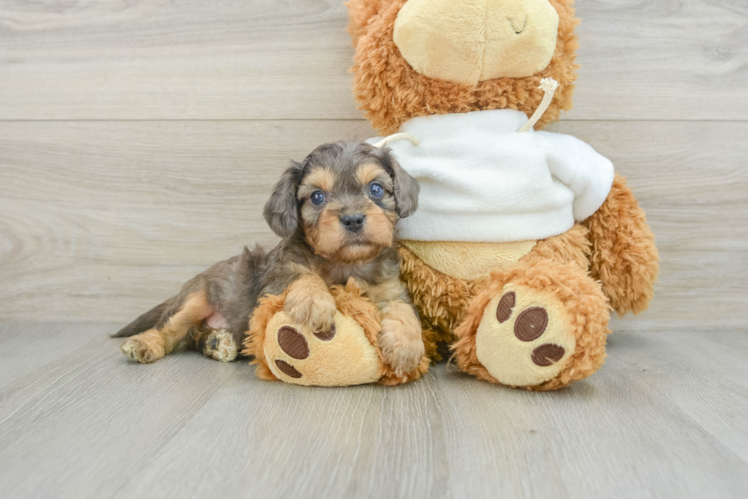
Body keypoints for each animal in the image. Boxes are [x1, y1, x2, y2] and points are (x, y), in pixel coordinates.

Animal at [113, 140, 424, 376]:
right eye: (317, 197)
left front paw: (407, 346)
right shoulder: (274, 280)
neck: (346, 264)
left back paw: (216, 342)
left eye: (376, 189)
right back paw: (146, 344)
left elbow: (403, 310)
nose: (353, 219)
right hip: (196, 297)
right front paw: (314, 300)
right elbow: (302, 274)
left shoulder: (390, 290)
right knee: (169, 330)